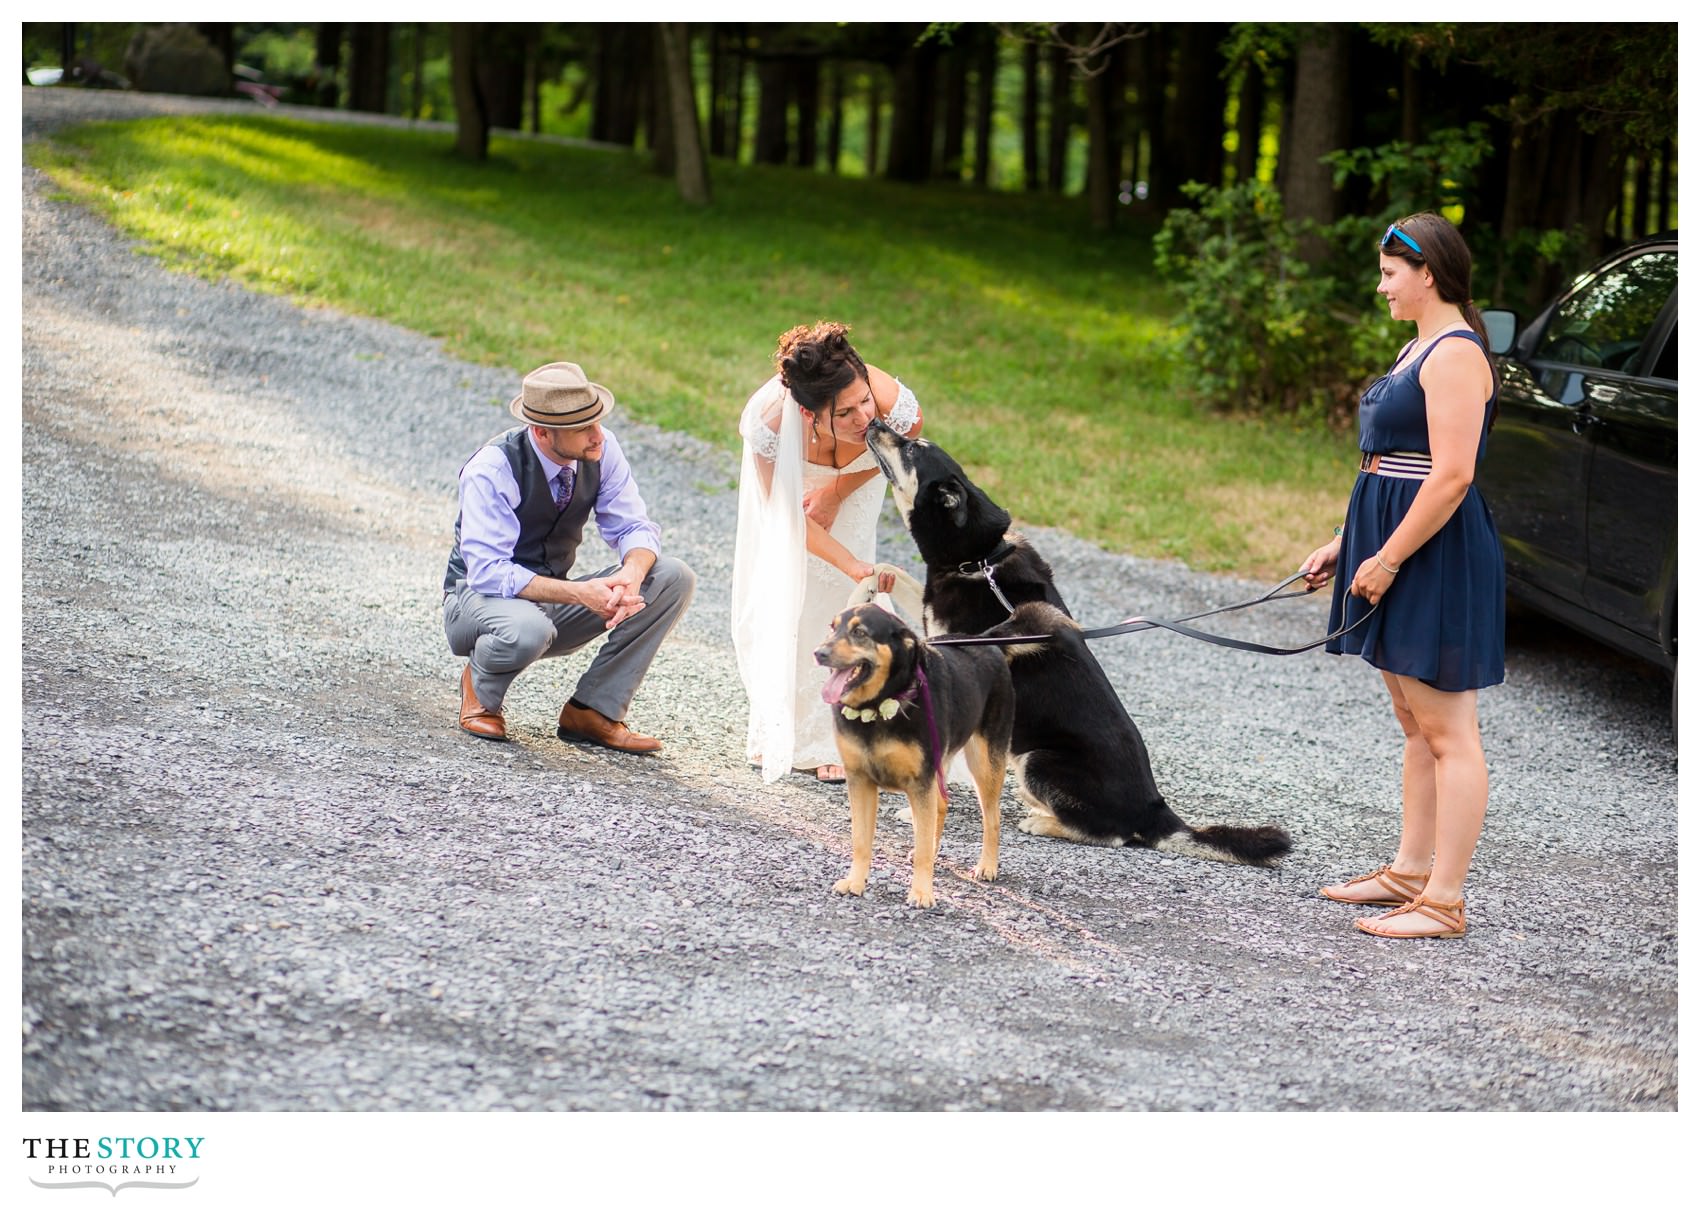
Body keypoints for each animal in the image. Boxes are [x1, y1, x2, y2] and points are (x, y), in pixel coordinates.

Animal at [809, 601, 1020, 903]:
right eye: (832, 627)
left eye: (860, 632)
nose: (819, 653)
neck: (877, 705)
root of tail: (987, 642)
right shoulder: (860, 780)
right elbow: (861, 841)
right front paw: (855, 882)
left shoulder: (920, 781)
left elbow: (921, 849)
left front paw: (921, 893)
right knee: (941, 806)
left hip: (984, 763)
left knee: (992, 817)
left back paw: (987, 866)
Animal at [863, 421, 1285, 863]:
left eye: (913, 449)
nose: (874, 423)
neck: (977, 559)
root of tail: (1155, 810)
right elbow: (894, 573)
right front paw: (872, 579)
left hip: (1037, 760)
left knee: (1112, 835)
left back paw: (1044, 822)